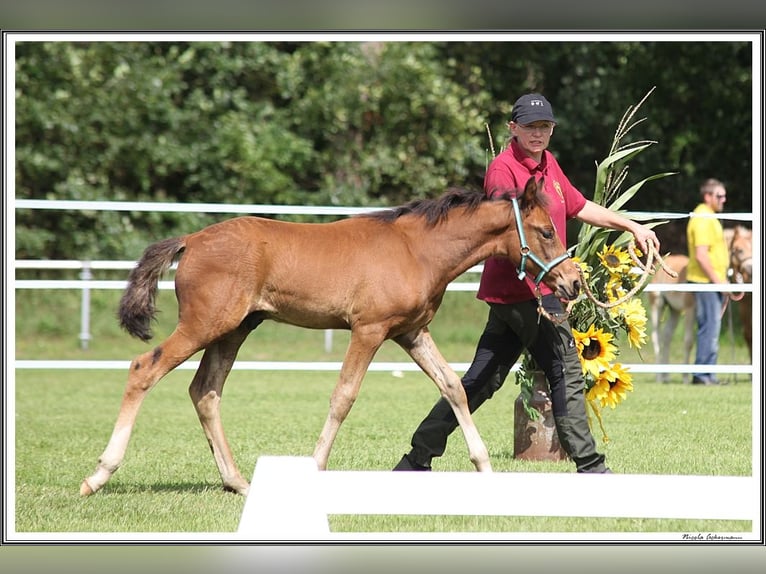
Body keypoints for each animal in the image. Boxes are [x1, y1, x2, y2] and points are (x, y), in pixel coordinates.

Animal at [79, 178, 584, 498]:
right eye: (546, 231)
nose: (573, 283)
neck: (416, 249)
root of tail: (192, 240)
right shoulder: (369, 330)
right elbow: (344, 396)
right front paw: (316, 466)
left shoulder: (411, 332)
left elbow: (454, 387)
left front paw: (484, 467)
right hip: (205, 325)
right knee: (144, 369)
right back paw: (98, 475)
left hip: (234, 330)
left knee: (205, 391)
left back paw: (237, 481)